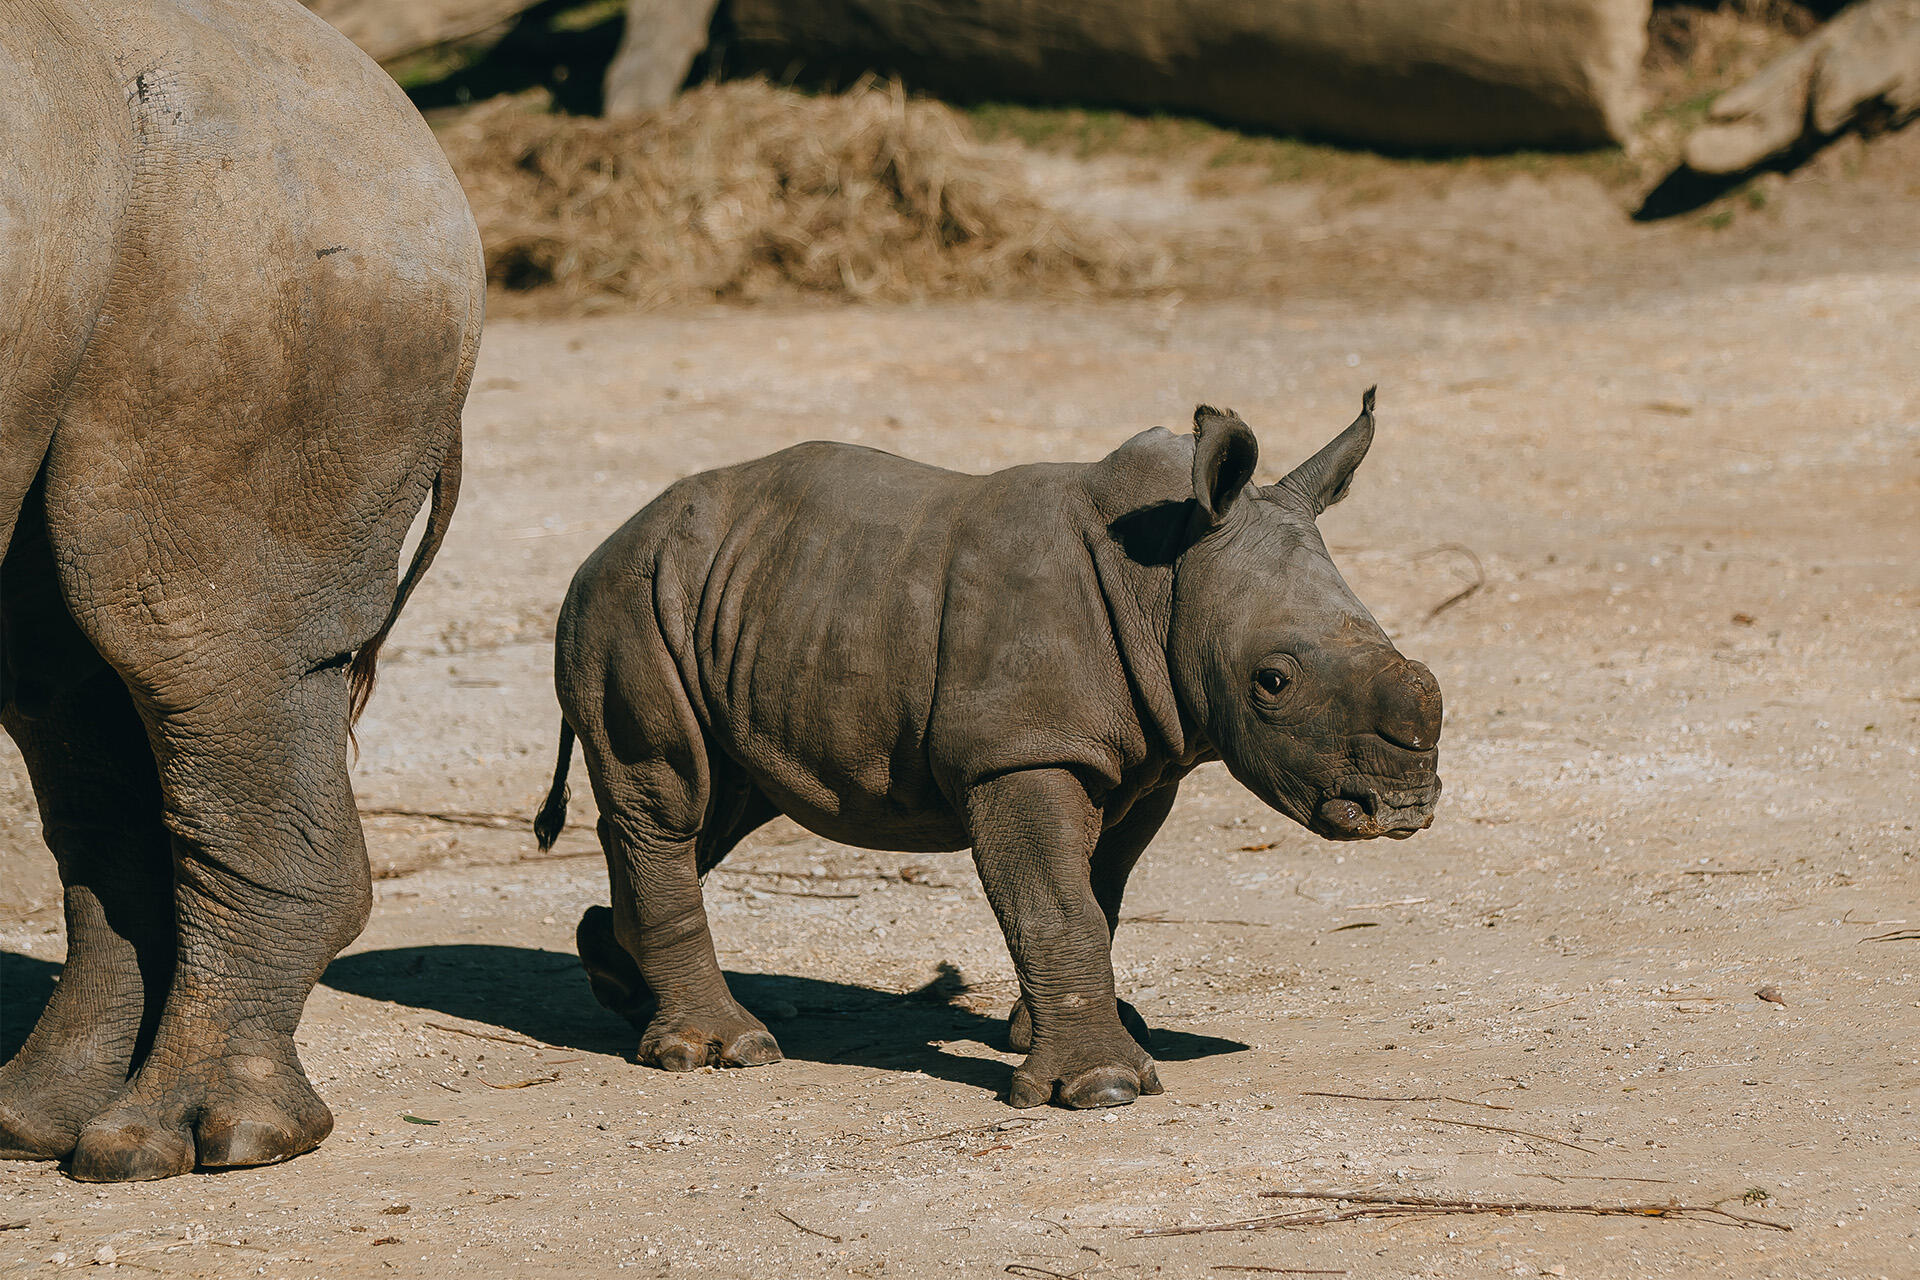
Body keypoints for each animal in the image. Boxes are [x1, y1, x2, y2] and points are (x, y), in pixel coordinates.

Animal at [537, 391, 1443, 1113]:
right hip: (629, 600)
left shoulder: (1139, 763)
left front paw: (1055, 1034)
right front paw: (1103, 1087)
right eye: (1273, 682)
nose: (1407, 802)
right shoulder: (1021, 751)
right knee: (673, 796)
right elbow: (1057, 903)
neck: (1167, 578)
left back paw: (623, 985)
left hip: (737, 602)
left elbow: (1098, 891)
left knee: (717, 805)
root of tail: (607, 540)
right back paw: (724, 1052)